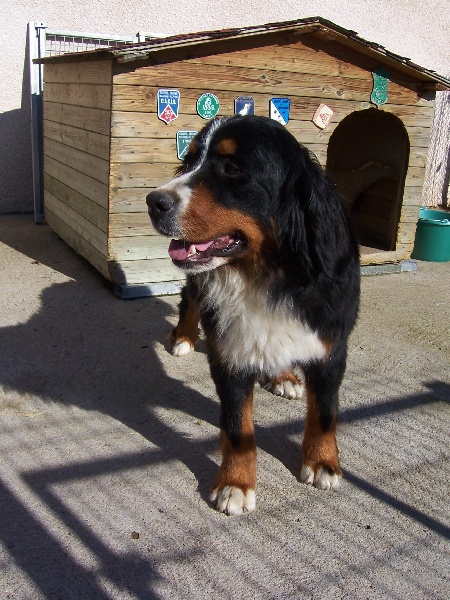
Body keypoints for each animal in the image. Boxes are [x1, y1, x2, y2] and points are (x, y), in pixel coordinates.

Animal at [146, 115, 360, 512]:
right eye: (189, 161)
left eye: (232, 169)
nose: (154, 201)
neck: (268, 276)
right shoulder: (229, 353)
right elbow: (238, 428)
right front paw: (235, 484)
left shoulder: (330, 346)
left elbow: (324, 414)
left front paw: (322, 462)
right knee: (190, 299)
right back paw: (183, 337)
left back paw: (284, 376)